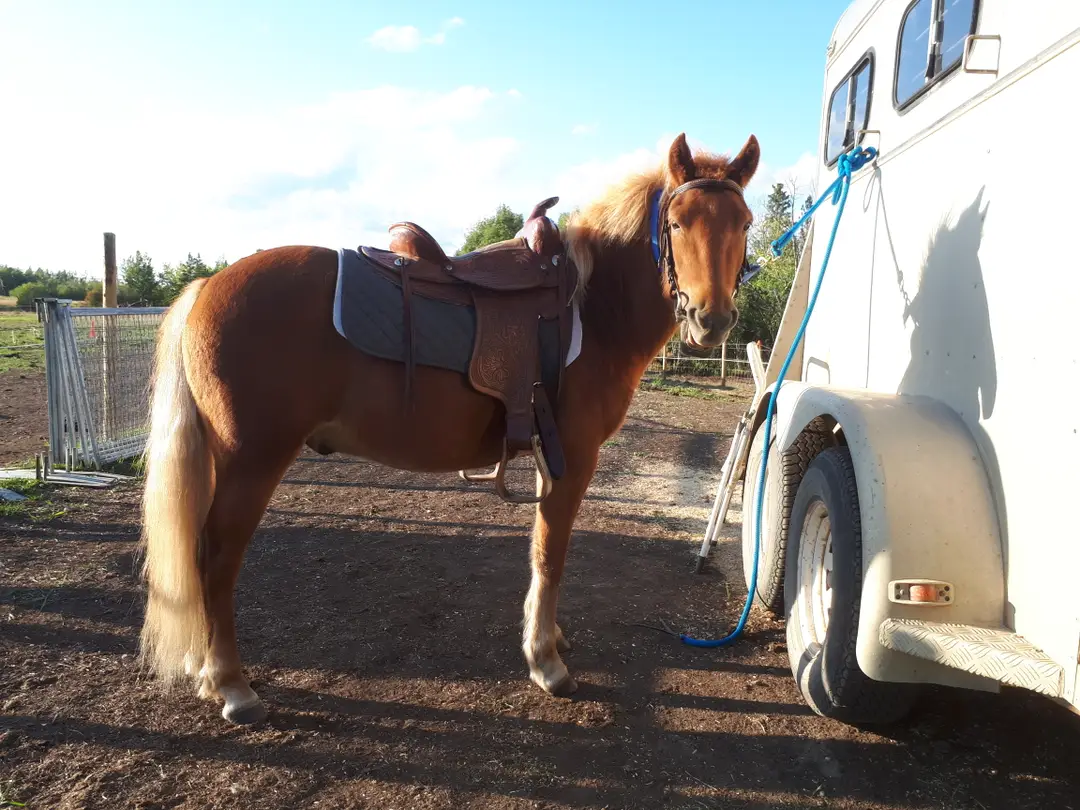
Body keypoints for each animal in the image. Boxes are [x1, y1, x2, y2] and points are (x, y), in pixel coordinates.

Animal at [137, 132, 761, 723]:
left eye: (744, 223)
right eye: (677, 223)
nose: (712, 319)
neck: (592, 305)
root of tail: (207, 286)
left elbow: (542, 550)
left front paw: (550, 639)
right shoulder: (573, 457)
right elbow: (550, 553)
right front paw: (545, 660)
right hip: (252, 460)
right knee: (216, 558)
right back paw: (231, 685)